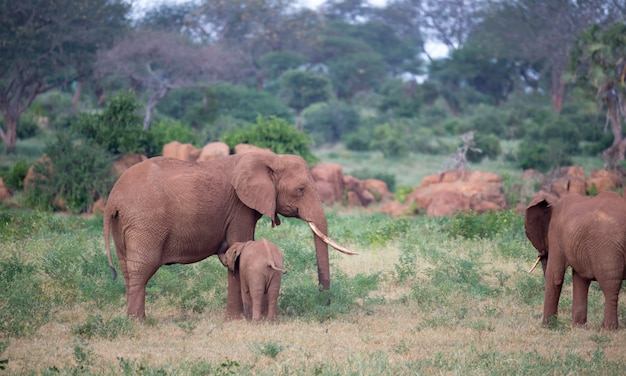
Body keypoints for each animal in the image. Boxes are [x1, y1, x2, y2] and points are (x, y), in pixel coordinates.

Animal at [105, 150, 354, 318]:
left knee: (127, 269)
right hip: (144, 223)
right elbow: (241, 245)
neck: (270, 158)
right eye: (301, 190)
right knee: (142, 269)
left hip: (124, 224)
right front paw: (238, 319)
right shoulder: (239, 207)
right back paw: (139, 321)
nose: (324, 303)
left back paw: (130, 319)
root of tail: (113, 199)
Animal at [524, 191, 624, 328]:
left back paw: (607, 329)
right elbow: (580, 279)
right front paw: (578, 327)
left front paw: (547, 327)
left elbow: (554, 277)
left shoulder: (556, 234)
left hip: (609, 248)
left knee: (610, 285)